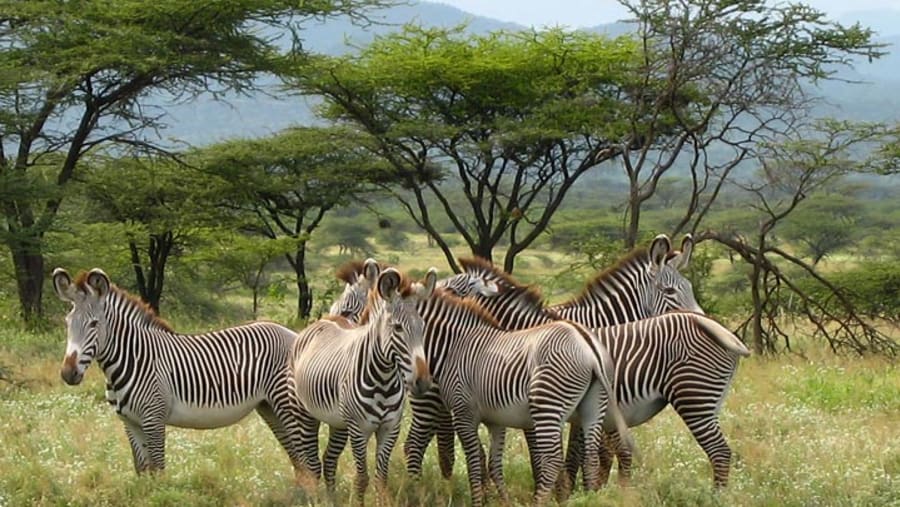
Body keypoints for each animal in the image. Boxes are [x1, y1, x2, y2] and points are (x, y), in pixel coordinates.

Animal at [51, 268, 312, 477]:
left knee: (308, 461)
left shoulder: (153, 419)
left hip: (288, 405)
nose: (67, 373)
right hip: (269, 407)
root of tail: (292, 333)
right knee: (299, 461)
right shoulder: (130, 422)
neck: (132, 358)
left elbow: (158, 472)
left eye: (94, 324)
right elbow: (142, 471)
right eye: (67, 322)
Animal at [291, 267, 436, 504]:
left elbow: (381, 479)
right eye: (397, 328)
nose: (422, 382)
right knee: (311, 463)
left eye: (423, 328)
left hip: (339, 423)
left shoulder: (390, 428)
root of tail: (325, 320)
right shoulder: (359, 430)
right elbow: (361, 480)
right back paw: (315, 500)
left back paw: (331, 499)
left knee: (328, 459)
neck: (384, 379)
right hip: (305, 413)